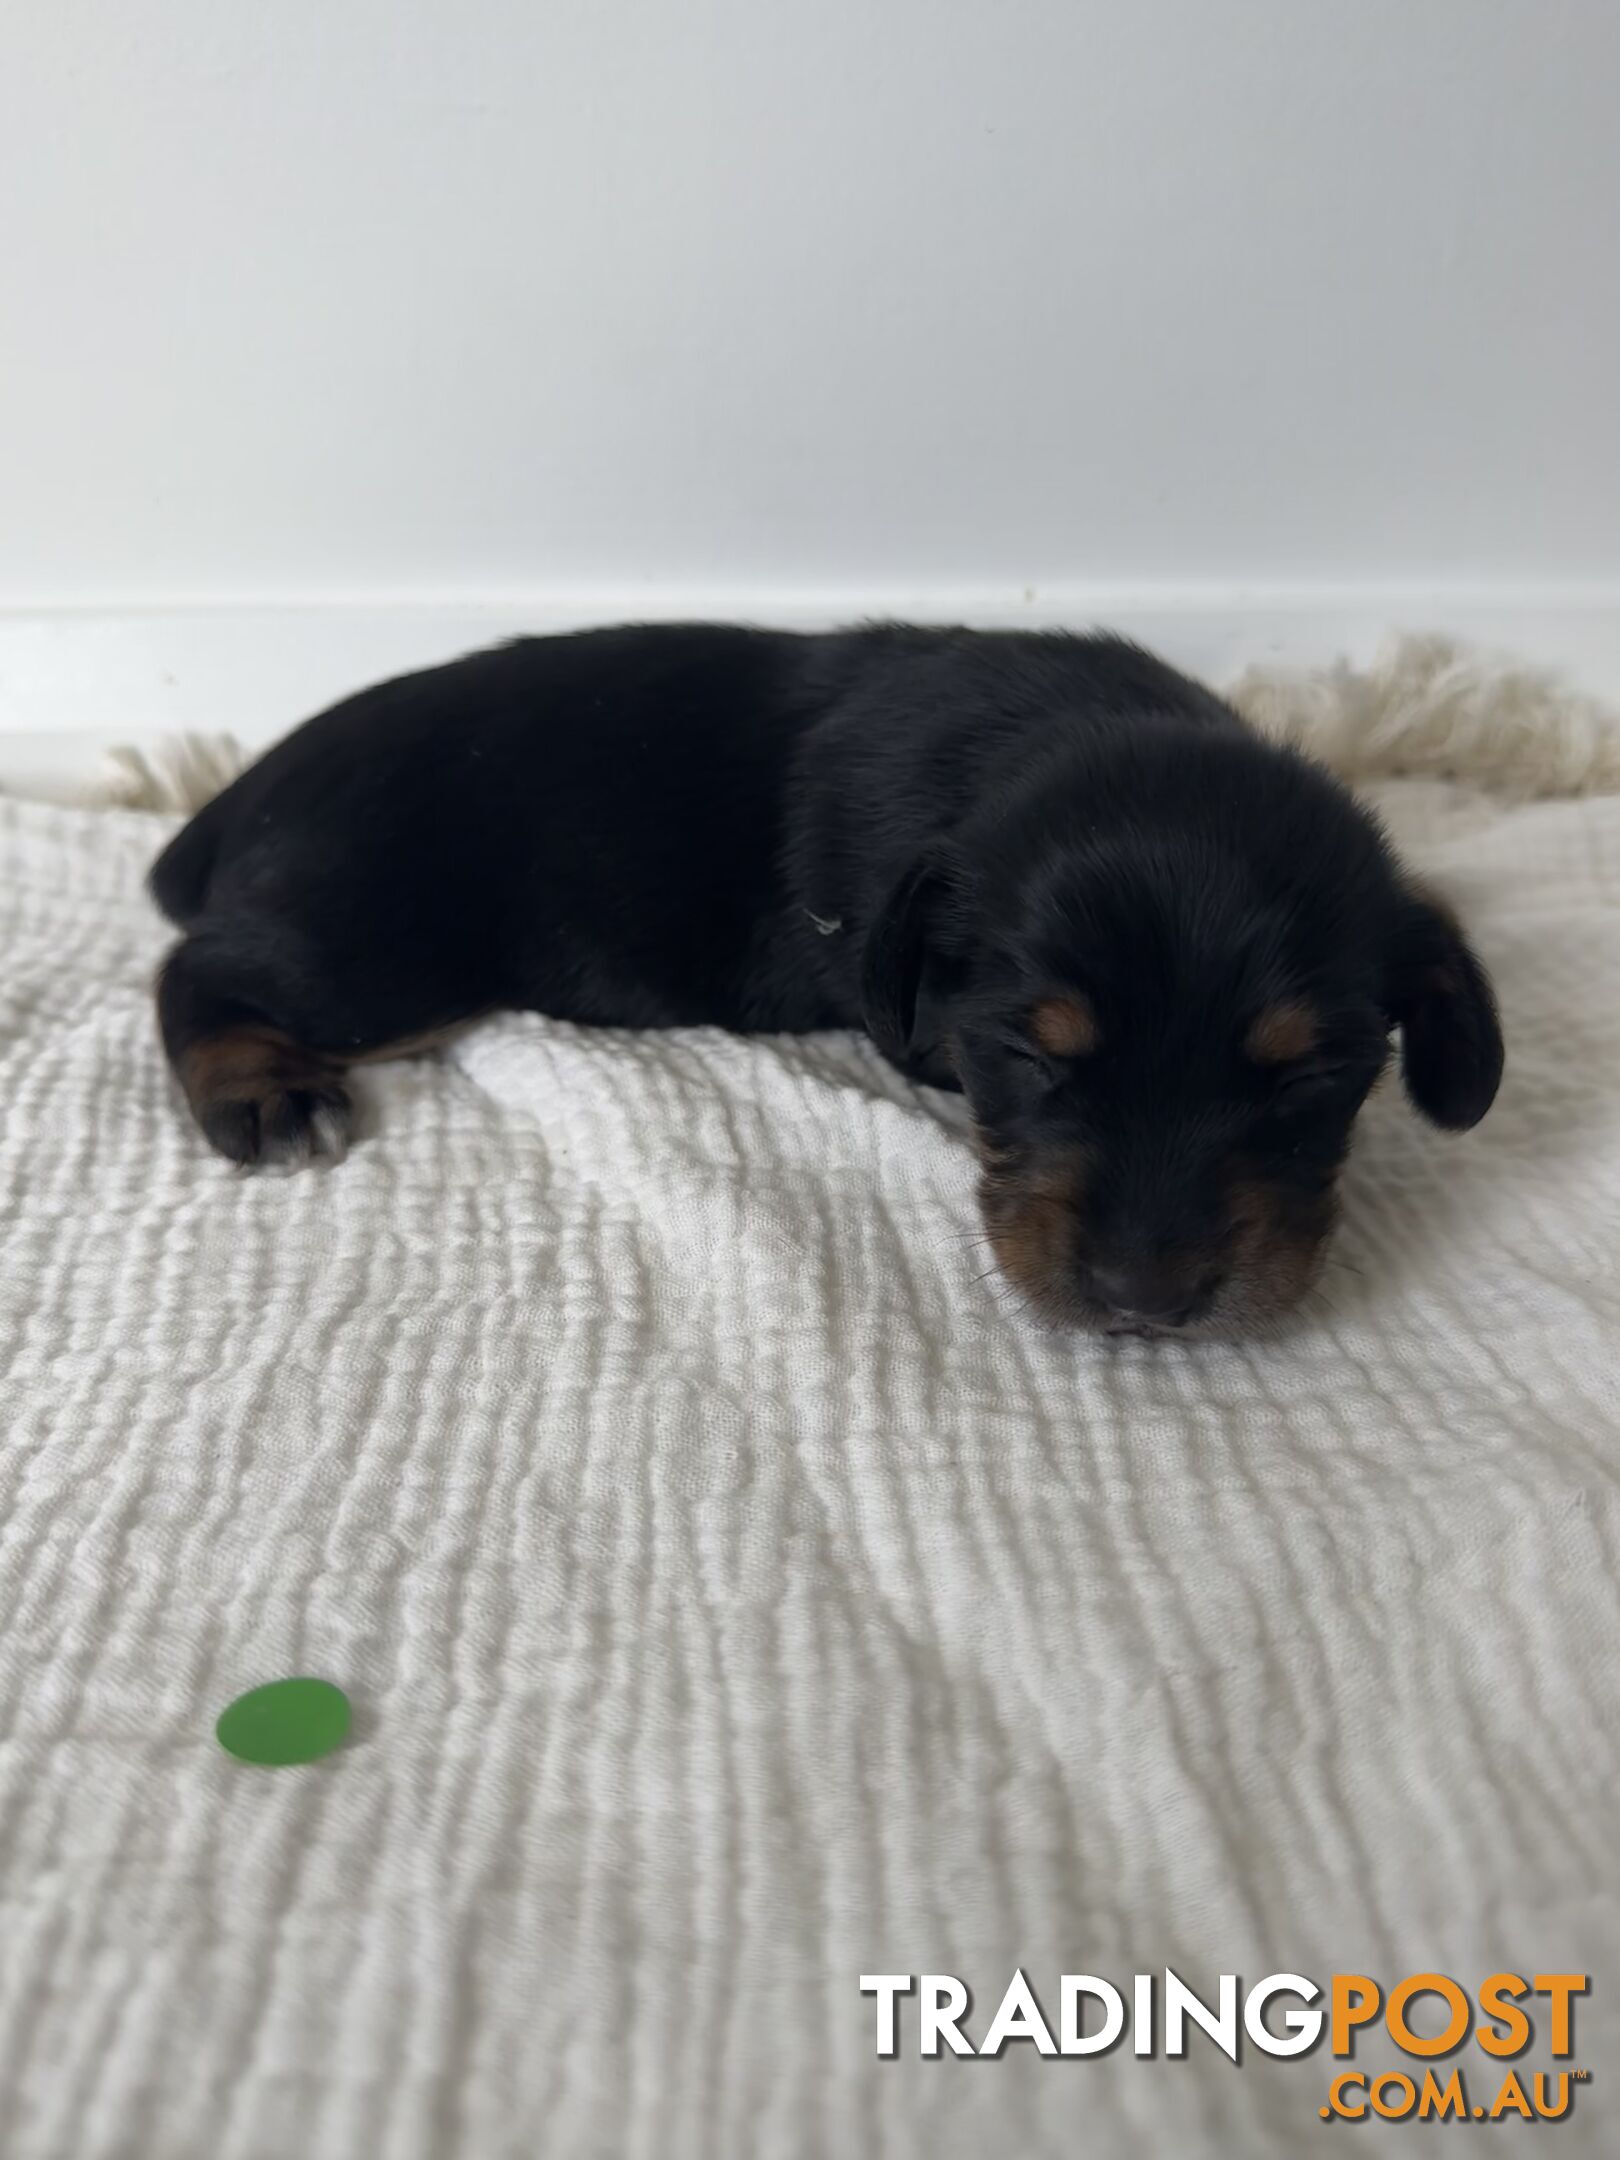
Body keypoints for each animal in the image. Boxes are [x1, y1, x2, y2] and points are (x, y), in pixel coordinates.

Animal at [152, 622, 1512, 1330]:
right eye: (1030, 1054)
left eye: (1312, 1077)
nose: (1145, 1303)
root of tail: (244, 794)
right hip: (378, 945)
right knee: (196, 967)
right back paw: (265, 1095)